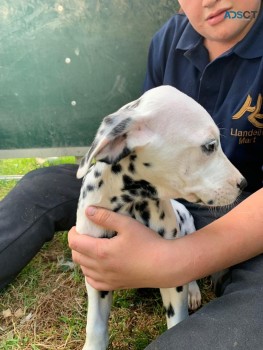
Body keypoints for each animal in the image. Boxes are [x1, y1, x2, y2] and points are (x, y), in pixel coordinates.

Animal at [75, 85, 246, 350]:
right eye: (210, 146)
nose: (243, 184)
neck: (131, 203)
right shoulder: (95, 276)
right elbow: (95, 327)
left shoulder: (172, 280)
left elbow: (177, 320)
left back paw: (193, 292)